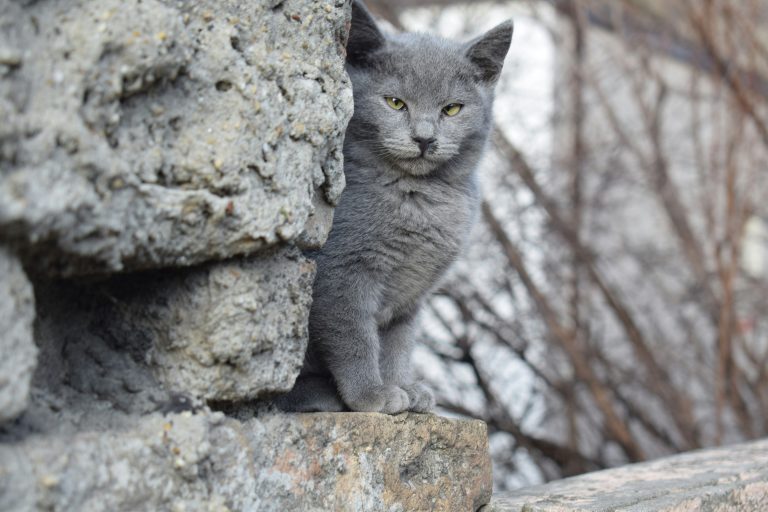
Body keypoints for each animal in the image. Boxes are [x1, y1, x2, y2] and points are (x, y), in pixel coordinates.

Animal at [274, 0, 510, 414]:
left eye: (452, 109)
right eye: (395, 103)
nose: (424, 138)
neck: (419, 199)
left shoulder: (412, 295)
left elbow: (398, 344)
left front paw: (402, 387)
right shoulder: (341, 273)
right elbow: (354, 337)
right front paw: (371, 395)